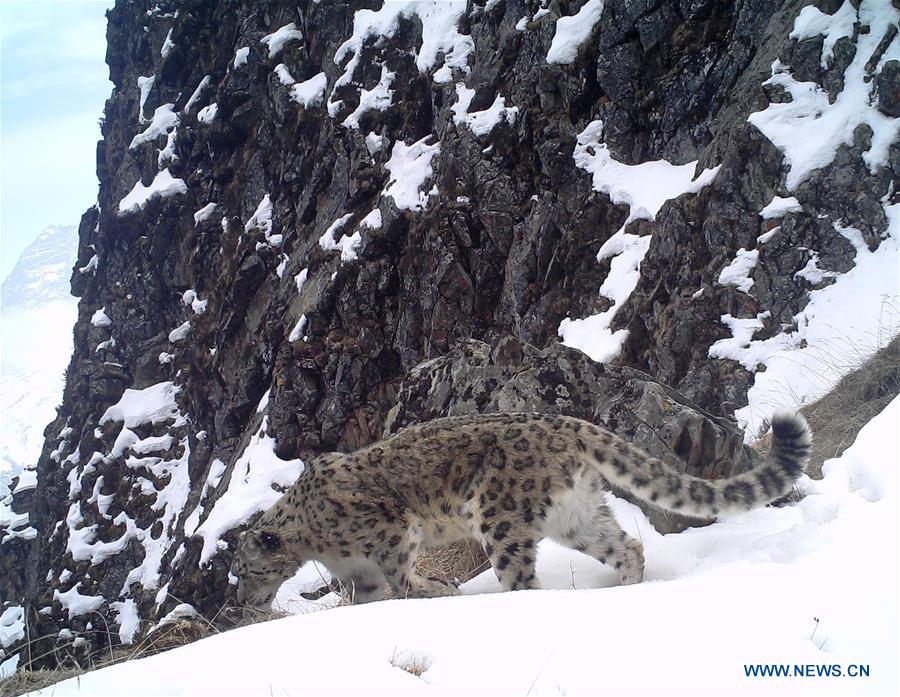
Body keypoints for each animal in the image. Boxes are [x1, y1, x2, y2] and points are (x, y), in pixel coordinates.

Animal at [231, 411, 811, 608]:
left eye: (247, 571)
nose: (244, 601)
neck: (319, 545)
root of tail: (564, 421)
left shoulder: (392, 531)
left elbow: (402, 575)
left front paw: (438, 590)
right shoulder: (361, 572)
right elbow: (368, 596)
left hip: (500, 519)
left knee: (523, 579)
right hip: (578, 516)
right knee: (626, 544)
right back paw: (624, 591)